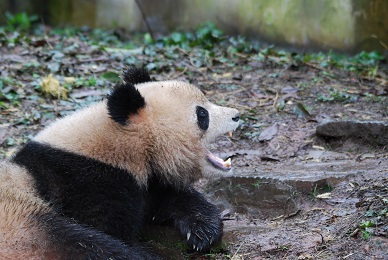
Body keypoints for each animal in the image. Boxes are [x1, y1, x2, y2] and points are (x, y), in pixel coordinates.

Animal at [0, 67, 239, 260]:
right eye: (202, 114)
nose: (237, 115)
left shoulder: (144, 179)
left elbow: (168, 197)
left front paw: (204, 230)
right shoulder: (84, 180)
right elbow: (106, 227)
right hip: (23, 227)